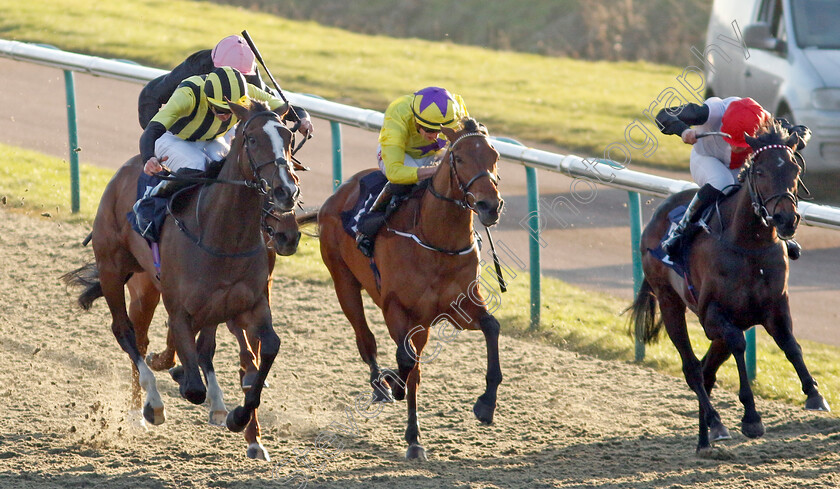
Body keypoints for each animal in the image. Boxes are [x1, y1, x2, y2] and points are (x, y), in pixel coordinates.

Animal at [62, 99, 298, 458]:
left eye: (288, 138)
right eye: (253, 139)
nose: (287, 190)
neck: (222, 236)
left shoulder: (251, 303)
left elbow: (266, 350)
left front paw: (240, 418)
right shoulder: (181, 310)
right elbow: (194, 384)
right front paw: (183, 385)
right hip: (114, 270)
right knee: (126, 333)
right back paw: (148, 406)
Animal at [316, 118, 502, 458]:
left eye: (494, 155)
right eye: (458, 158)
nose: (489, 205)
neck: (436, 241)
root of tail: (338, 193)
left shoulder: (458, 307)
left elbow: (491, 327)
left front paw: (486, 404)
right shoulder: (396, 309)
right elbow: (405, 362)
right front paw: (394, 387)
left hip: (422, 324)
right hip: (343, 282)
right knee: (366, 340)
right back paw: (382, 387)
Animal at [628, 121, 832, 454]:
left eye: (794, 168)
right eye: (759, 171)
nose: (786, 219)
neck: (749, 245)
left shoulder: (775, 306)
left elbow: (791, 344)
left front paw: (814, 394)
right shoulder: (713, 315)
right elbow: (739, 344)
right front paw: (751, 418)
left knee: (706, 370)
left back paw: (704, 439)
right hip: (670, 302)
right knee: (692, 369)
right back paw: (716, 423)